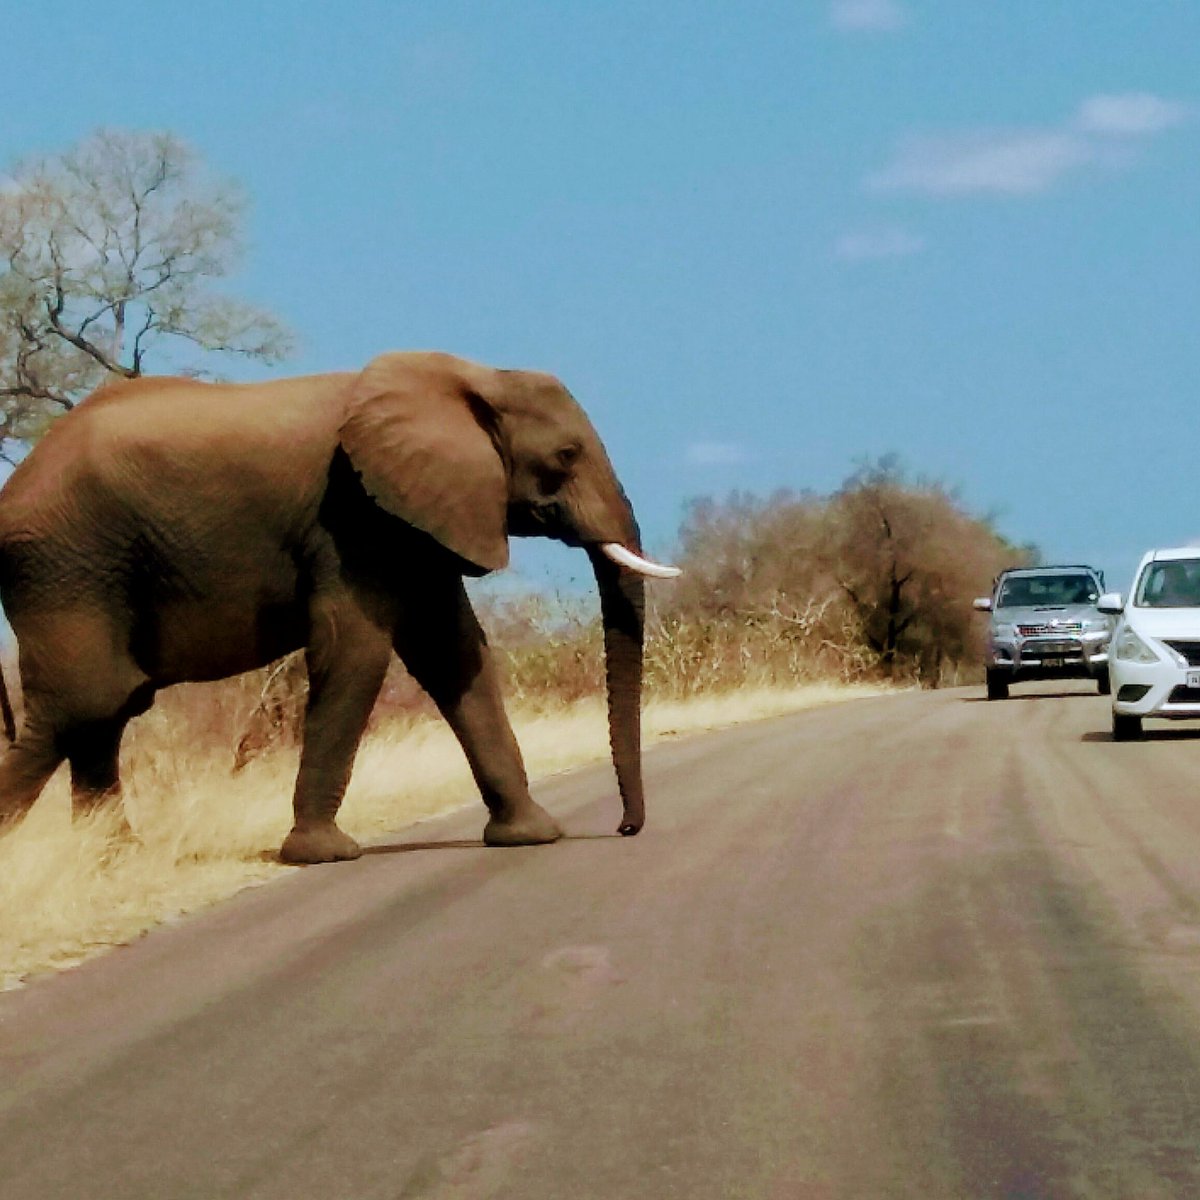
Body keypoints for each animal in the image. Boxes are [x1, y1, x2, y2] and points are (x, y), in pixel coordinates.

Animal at [0, 351, 679, 863]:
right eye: (566, 457)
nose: (624, 828)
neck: (472, 375)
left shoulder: (413, 519)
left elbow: (454, 653)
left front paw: (531, 836)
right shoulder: (352, 517)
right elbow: (357, 652)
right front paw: (322, 854)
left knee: (102, 716)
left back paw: (114, 862)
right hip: (66, 568)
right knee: (81, 708)